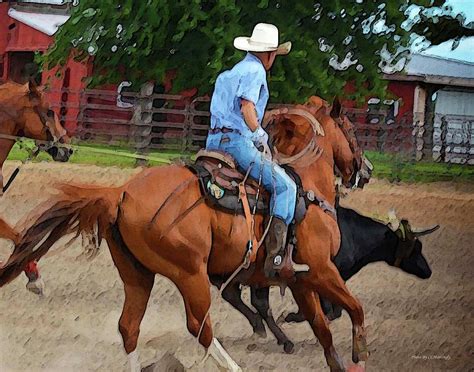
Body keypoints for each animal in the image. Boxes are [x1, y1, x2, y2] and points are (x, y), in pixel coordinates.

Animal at [0, 96, 366, 372]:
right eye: (349, 128)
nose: (365, 170)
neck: (307, 188)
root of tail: (120, 193)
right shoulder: (321, 270)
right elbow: (354, 308)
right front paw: (359, 353)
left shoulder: (301, 280)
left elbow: (322, 329)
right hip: (190, 273)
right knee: (199, 326)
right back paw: (234, 366)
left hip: (137, 275)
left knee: (129, 327)